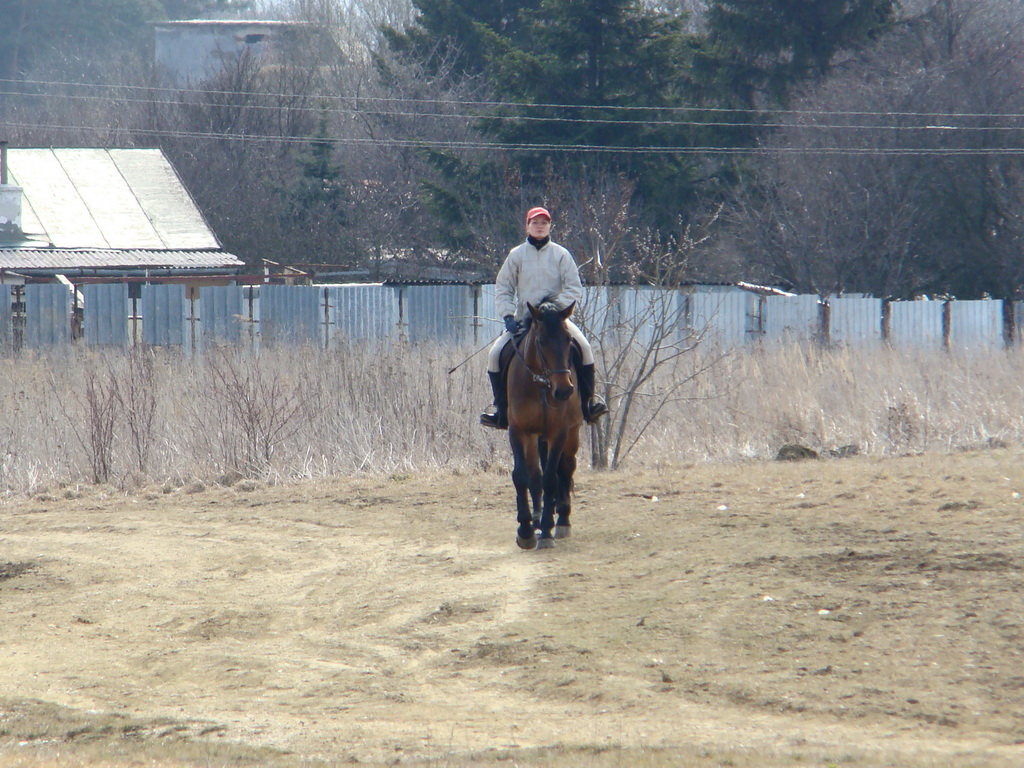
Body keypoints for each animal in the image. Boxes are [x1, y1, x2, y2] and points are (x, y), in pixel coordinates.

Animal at [505, 303, 585, 548]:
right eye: (540, 341)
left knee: (566, 468)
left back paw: (562, 521)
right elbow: (522, 476)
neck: (541, 383)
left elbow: (551, 479)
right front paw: (525, 531)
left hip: (572, 434)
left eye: (569, 339)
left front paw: (548, 531)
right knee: (535, 473)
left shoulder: (559, 433)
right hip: (534, 437)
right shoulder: (518, 430)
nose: (564, 391)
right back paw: (537, 519)